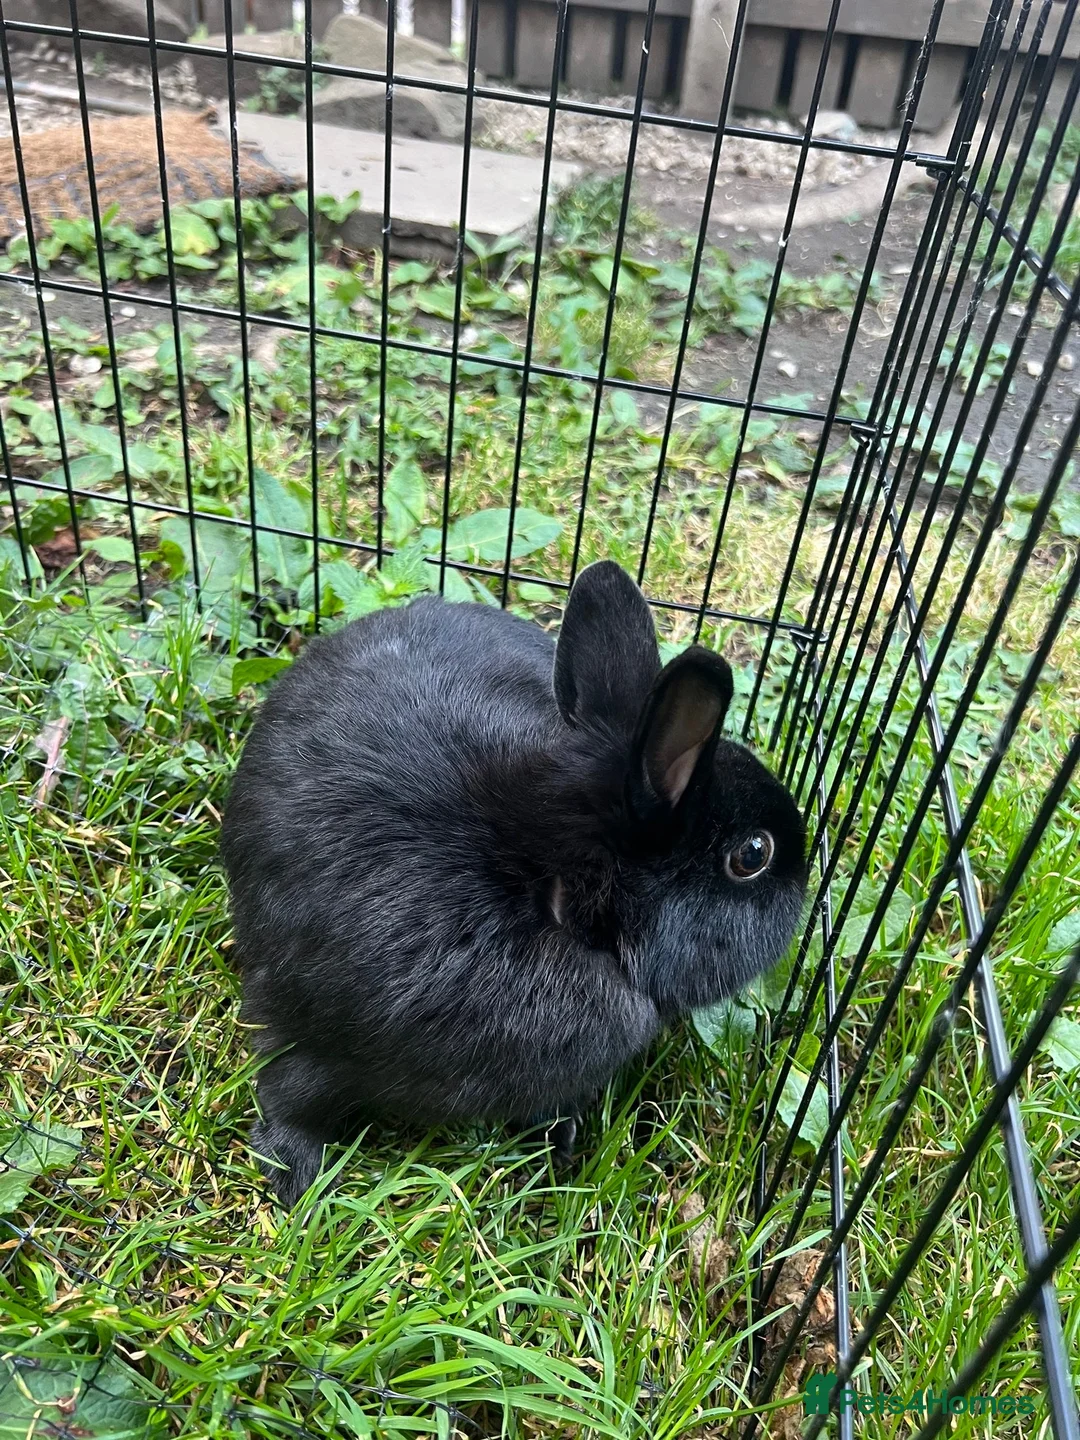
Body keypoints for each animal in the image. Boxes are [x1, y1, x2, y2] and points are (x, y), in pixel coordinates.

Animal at [221, 560, 808, 1205]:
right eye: (753, 854)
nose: (809, 881)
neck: (545, 887)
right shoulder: (306, 1037)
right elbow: (289, 1098)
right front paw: (295, 1180)